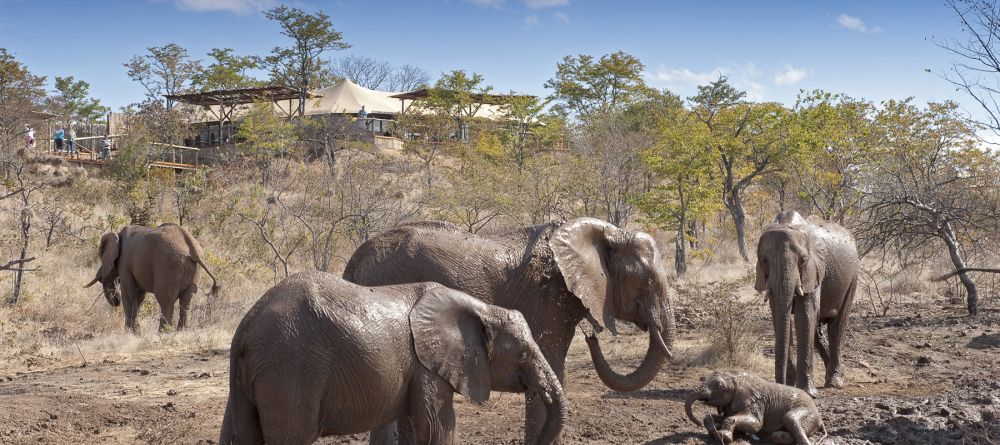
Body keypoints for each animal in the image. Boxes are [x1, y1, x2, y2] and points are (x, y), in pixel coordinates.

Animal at [85, 224, 219, 332]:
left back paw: (163, 333)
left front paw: (129, 333)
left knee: (165, 300)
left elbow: (129, 295)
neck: (118, 235)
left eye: (101, 255)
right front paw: (136, 333)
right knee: (187, 301)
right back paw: (182, 332)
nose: (115, 300)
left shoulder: (124, 263)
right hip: (194, 272)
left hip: (168, 267)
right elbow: (138, 297)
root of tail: (193, 248)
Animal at [218, 270, 564, 444]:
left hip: (253, 375)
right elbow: (438, 427)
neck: (479, 308)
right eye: (522, 353)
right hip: (290, 369)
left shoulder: (418, 369)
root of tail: (245, 328)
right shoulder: (428, 367)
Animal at [344, 217, 680, 442]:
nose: (592, 334)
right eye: (647, 282)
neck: (605, 232)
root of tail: (355, 259)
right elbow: (550, 367)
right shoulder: (546, 301)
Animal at [684, 368, 824, 444]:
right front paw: (712, 430)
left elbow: (755, 424)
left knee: (790, 418)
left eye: (719, 386)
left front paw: (723, 437)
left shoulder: (756, 403)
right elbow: (719, 417)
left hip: (808, 413)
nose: (698, 424)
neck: (738, 377)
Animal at [756, 210, 860, 398]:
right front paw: (790, 386)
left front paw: (808, 393)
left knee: (837, 325)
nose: (779, 384)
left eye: (803, 260)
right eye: (764, 260)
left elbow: (804, 315)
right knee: (817, 331)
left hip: (853, 275)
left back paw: (834, 382)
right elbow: (779, 315)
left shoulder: (814, 269)